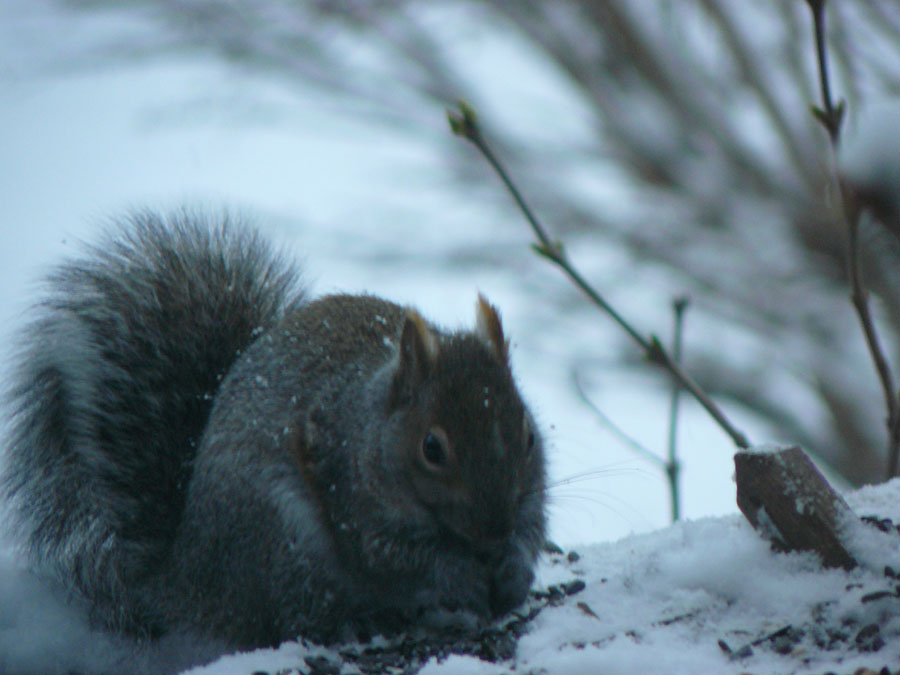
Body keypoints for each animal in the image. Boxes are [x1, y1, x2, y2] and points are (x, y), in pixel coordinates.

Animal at [1, 214, 548, 652]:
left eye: (528, 436)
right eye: (431, 449)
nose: (494, 531)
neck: (372, 424)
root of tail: (185, 578)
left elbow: (532, 528)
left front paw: (514, 569)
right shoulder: (349, 489)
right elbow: (396, 556)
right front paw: (459, 574)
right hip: (284, 543)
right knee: (291, 619)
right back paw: (358, 623)